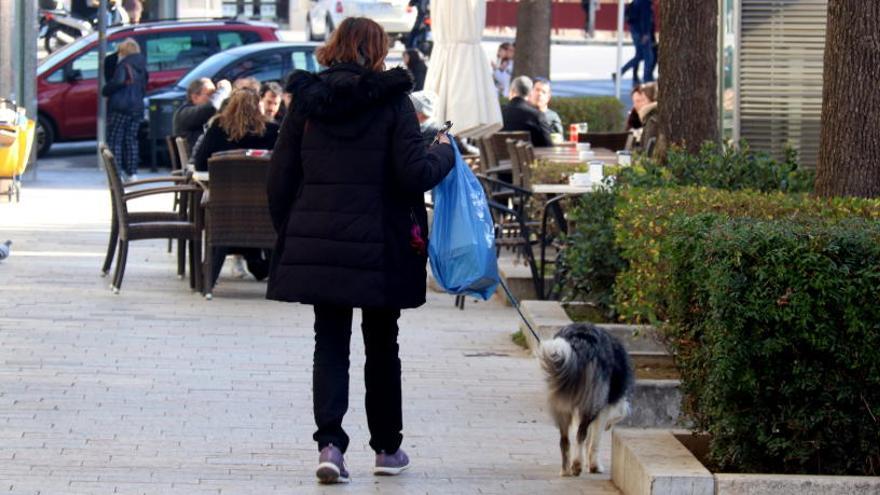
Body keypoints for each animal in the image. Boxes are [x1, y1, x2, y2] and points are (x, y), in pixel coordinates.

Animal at [536, 326, 632, 476]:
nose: (608, 427)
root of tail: (579, 341)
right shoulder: (601, 408)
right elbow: (593, 442)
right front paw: (594, 466)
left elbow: (587, 439)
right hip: (590, 403)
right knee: (580, 435)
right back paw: (576, 466)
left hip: (561, 404)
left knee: (565, 440)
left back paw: (565, 470)